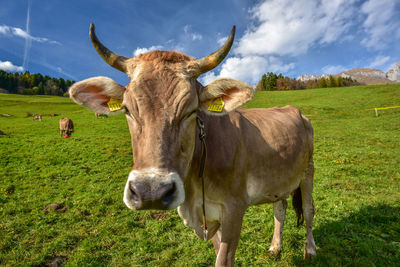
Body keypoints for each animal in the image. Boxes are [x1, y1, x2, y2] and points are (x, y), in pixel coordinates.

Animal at [69, 24, 318, 266]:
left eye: (190, 111)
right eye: (127, 110)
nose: (151, 192)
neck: (193, 191)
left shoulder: (234, 208)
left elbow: (224, 260)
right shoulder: (208, 217)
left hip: (308, 171)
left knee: (308, 209)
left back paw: (310, 249)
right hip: (280, 180)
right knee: (280, 209)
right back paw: (276, 247)